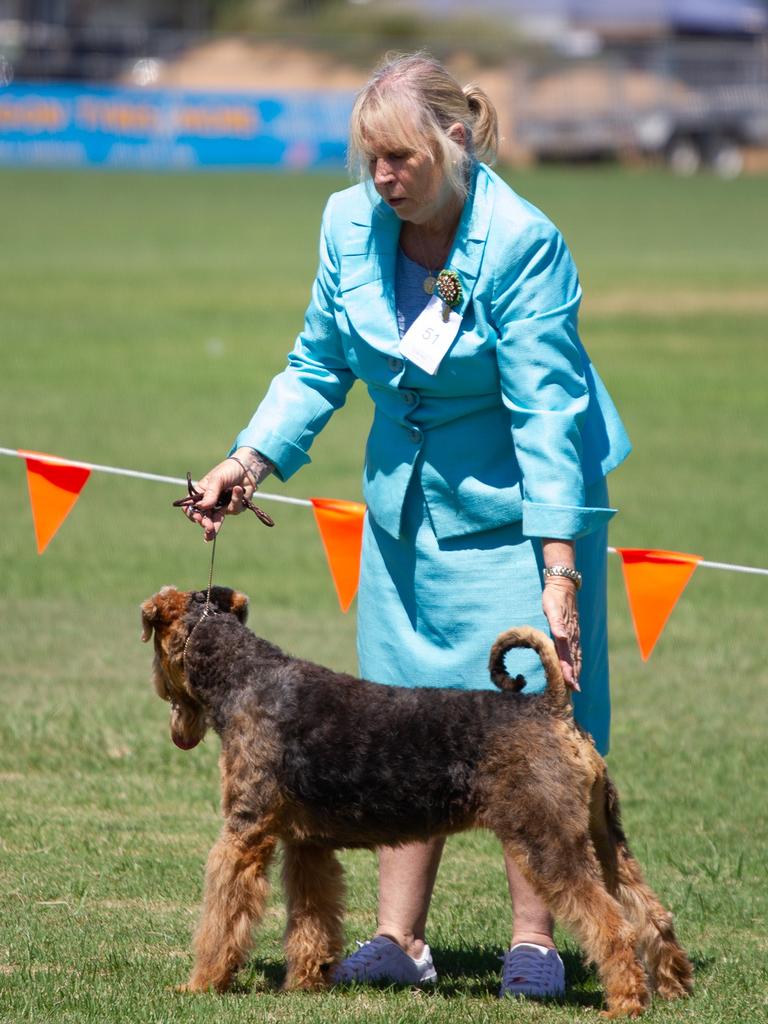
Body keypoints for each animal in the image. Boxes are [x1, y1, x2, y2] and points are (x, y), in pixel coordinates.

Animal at [141, 585, 696, 1015]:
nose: (173, 719)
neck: (245, 676)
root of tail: (552, 707)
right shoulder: (308, 846)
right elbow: (312, 920)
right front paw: (307, 983)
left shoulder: (245, 834)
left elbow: (221, 916)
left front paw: (200, 983)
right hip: (604, 837)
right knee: (649, 911)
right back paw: (673, 986)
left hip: (548, 842)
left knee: (612, 924)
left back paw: (625, 1002)